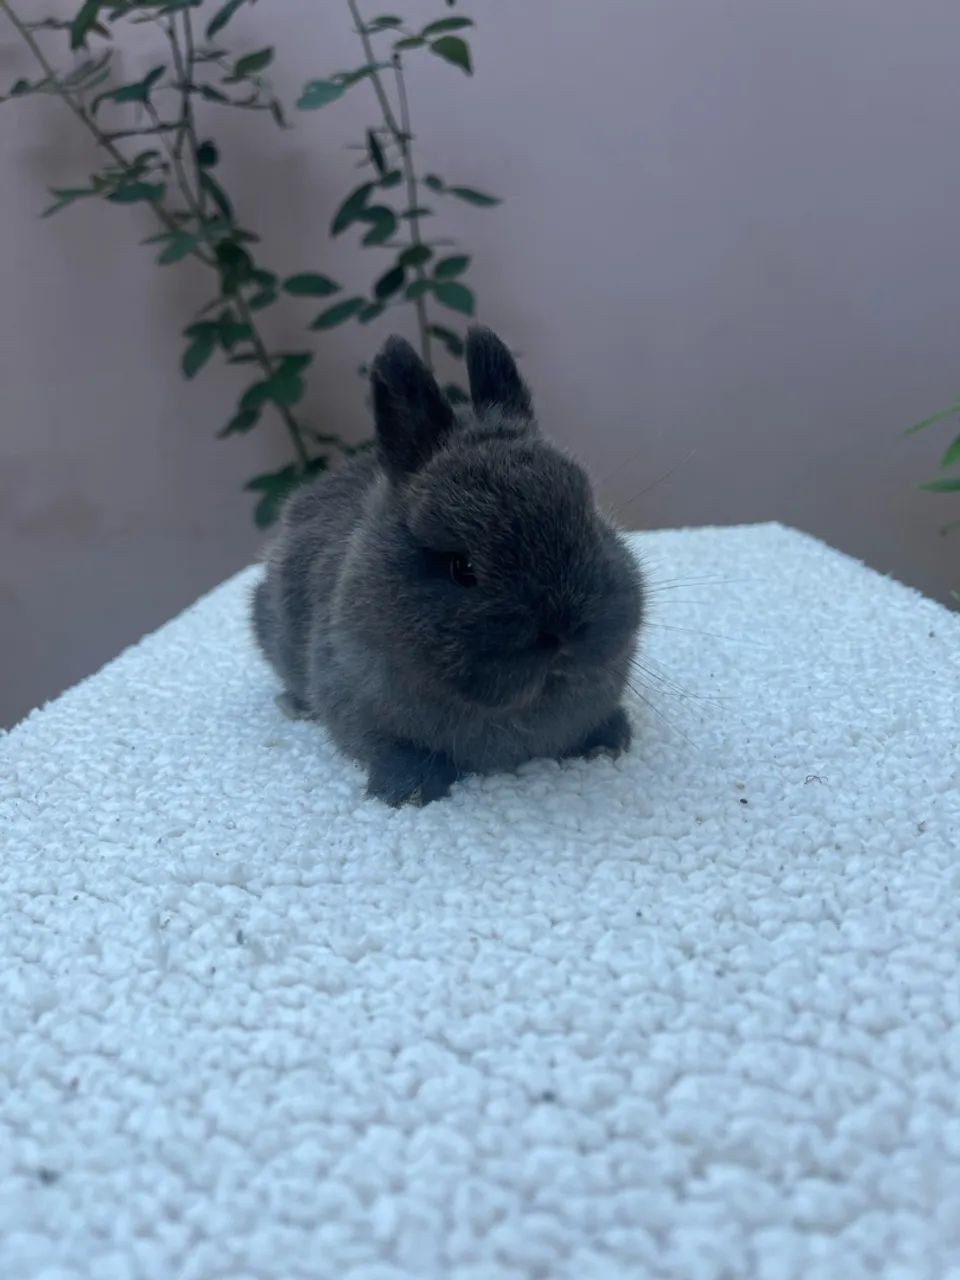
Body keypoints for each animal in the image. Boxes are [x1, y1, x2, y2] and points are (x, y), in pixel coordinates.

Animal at [252, 326, 644, 807]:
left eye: (590, 519)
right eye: (461, 567)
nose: (563, 633)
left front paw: (610, 738)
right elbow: (386, 746)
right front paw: (408, 788)